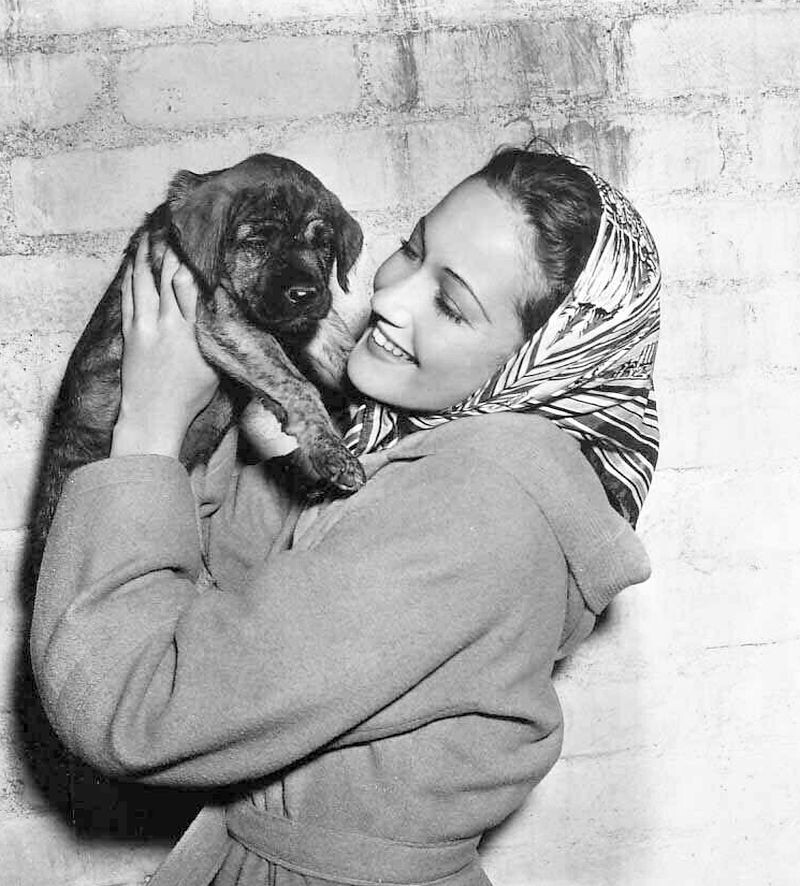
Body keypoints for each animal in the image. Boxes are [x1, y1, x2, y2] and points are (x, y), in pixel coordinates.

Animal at [31, 153, 367, 568]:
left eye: (324, 243)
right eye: (257, 241)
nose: (305, 293)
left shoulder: (308, 321)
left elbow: (341, 349)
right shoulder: (221, 318)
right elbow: (297, 384)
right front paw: (333, 451)